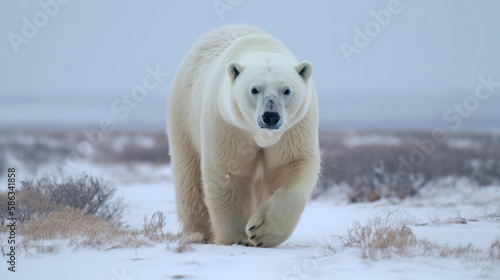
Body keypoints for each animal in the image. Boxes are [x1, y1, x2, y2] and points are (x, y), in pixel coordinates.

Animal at [166, 24, 318, 247]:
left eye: (286, 90)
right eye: (254, 89)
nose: (270, 116)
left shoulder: (294, 127)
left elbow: (291, 164)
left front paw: (260, 231)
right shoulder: (229, 123)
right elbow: (229, 171)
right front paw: (238, 238)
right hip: (183, 115)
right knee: (190, 178)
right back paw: (200, 232)